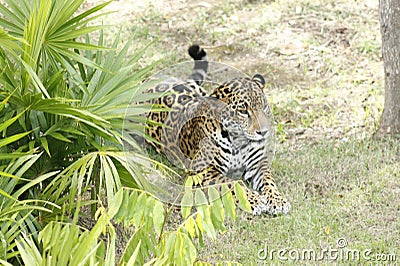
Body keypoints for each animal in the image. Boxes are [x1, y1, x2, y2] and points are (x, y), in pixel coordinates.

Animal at [144, 44, 290, 215]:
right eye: (243, 111)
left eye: (264, 106)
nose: (265, 132)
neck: (238, 141)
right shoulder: (205, 170)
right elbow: (233, 183)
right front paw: (254, 200)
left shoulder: (258, 163)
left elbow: (269, 180)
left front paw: (277, 200)